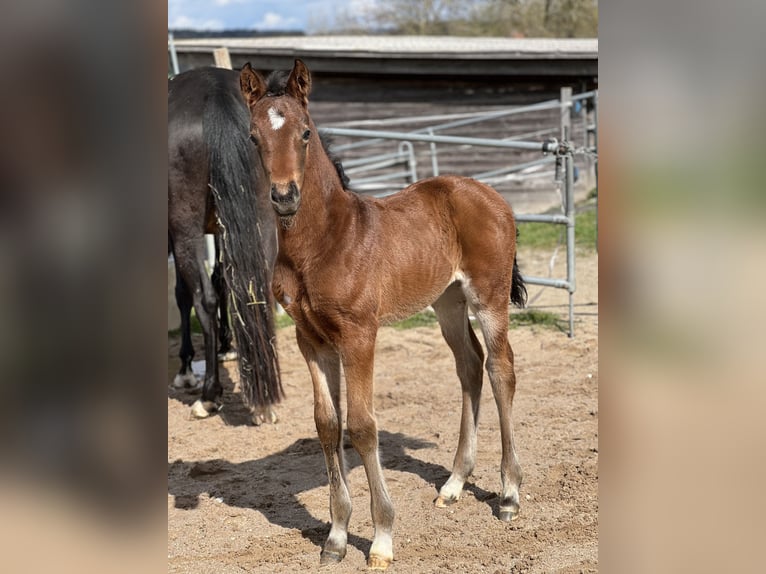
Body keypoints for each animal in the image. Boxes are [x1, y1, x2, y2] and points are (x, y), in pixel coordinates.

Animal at [170, 67, 284, 424]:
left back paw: (209, 396)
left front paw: (186, 369)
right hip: (260, 216)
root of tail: (214, 91)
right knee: (255, 287)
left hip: (186, 228)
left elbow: (185, 293)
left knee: (203, 298)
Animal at [240, 59, 528, 572]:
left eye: (306, 132)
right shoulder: (310, 339)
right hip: (447, 302)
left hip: (488, 298)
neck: (323, 242)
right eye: (254, 137)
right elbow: (327, 424)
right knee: (470, 367)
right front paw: (335, 537)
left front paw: (381, 538)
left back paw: (510, 494)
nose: (285, 196)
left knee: (500, 370)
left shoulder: (359, 335)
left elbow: (361, 425)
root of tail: (488, 193)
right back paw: (454, 484)